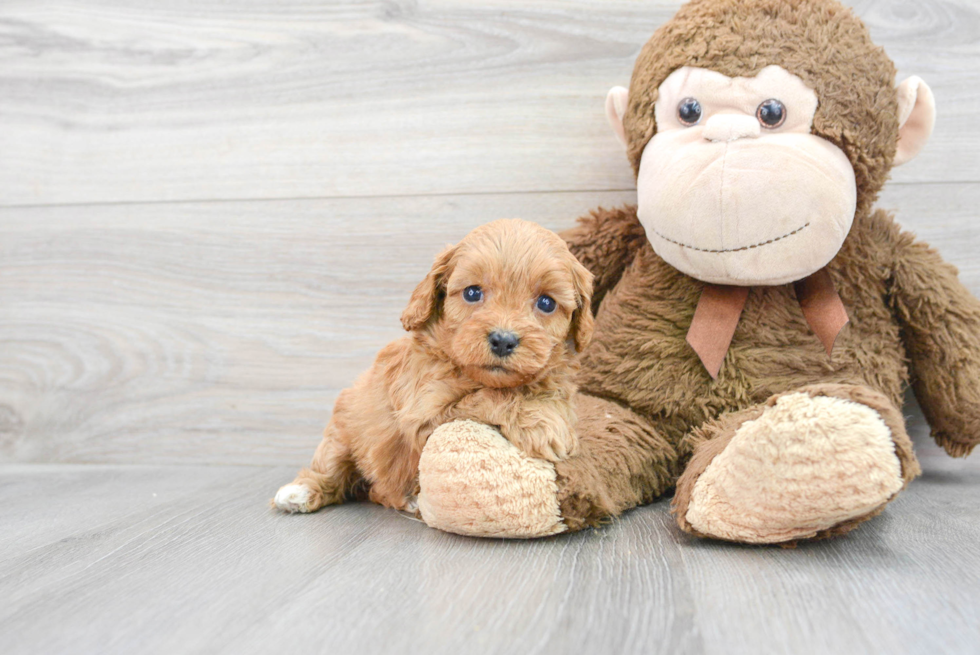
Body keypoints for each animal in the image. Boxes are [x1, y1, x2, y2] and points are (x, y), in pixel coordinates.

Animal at [276, 218, 596, 516]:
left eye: (546, 303)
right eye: (472, 293)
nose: (503, 340)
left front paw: (547, 412)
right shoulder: (424, 413)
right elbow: (488, 396)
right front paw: (543, 425)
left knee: (379, 492)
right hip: (342, 430)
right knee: (331, 468)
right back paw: (299, 492)